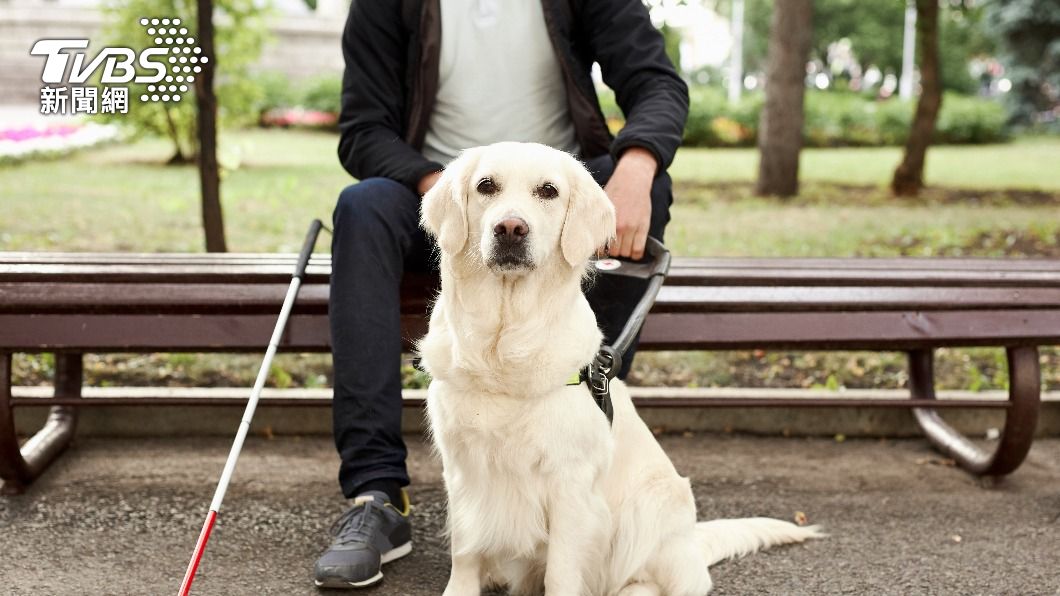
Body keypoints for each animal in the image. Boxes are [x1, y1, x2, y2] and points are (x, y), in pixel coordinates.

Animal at [413, 141, 818, 589]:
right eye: (486, 186)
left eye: (548, 191)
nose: (511, 228)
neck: (503, 344)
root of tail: (693, 542)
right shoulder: (462, 471)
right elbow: (465, 552)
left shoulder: (571, 485)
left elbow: (561, 573)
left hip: (654, 506)